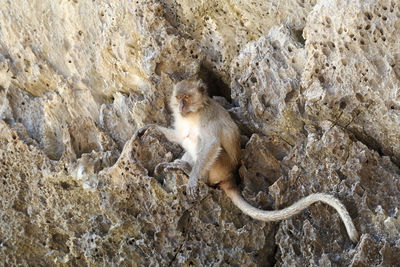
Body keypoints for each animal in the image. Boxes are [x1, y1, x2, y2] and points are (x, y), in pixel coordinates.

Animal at [139, 78, 358, 244]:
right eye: (178, 98)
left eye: (186, 97)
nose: (181, 106)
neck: (195, 111)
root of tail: (229, 177)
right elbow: (179, 136)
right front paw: (151, 128)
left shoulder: (206, 117)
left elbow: (211, 143)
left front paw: (192, 179)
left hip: (219, 166)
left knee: (205, 145)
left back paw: (192, 173)